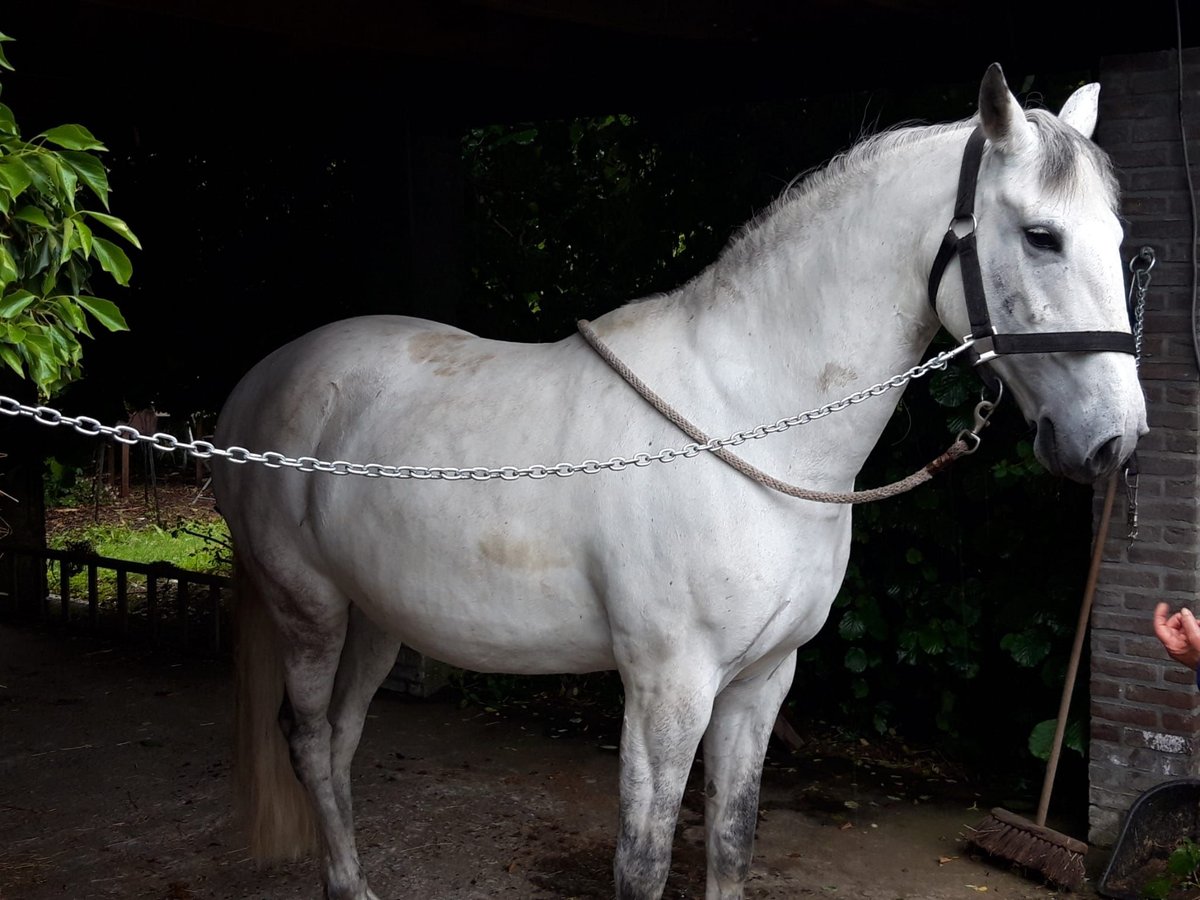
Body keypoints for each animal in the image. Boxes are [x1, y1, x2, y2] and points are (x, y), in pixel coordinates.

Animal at [213, 65, 1142, 900]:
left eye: (1118, 240)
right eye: (1042, 237)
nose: (1116, 441)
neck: (749, 420)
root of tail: (260, 382)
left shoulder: (763, 683)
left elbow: (731, 844)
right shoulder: (669, 688)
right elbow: (644, 863)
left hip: (375, 617)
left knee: (339, 740)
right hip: (311, 612)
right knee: (309, 742)